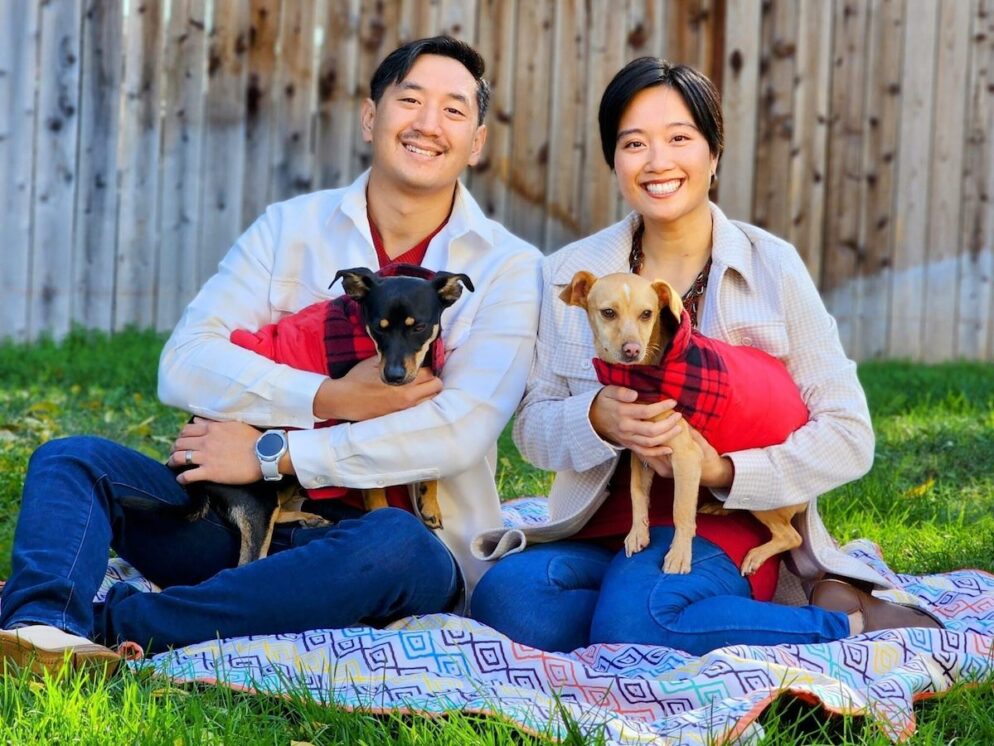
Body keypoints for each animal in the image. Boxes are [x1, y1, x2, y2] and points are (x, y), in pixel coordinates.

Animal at [560, 270, 808, 572]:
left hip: (767, 504)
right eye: (608, 313)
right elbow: (637, 493)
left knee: (791, 537)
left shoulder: (686, 459)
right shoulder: (641, 454)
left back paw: (756, 555)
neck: (646, 376)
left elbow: (681, 511)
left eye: (647, 314)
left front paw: (679, 555)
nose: (632, 350)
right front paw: (637, 533)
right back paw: (720, 506)